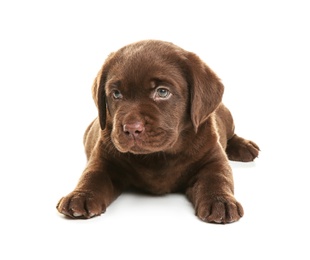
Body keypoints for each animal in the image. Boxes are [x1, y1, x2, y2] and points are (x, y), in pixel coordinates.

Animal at [56, 39, 260, 223]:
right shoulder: (104, 159)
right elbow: (92, 175)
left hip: (227, 117)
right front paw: (80, 196)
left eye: (162, 92)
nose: (131, 128)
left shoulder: (213, 158)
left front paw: (220, 202)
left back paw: (245, 146)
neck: (158, 156)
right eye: (116, 94)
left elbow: (217, 177)